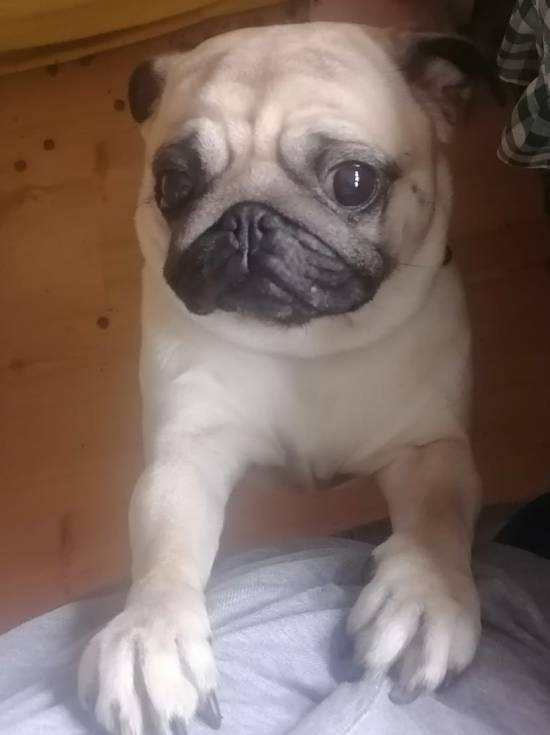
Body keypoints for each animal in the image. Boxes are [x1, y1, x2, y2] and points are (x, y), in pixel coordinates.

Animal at [79, 22, 498, 735]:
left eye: (353, 182)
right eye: (174, 183)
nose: (246, 219)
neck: (304, 343)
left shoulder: (429, 448)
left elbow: (439, 518)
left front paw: (426, 594)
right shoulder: (184, 459)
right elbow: (164, 546)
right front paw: (150, 630)